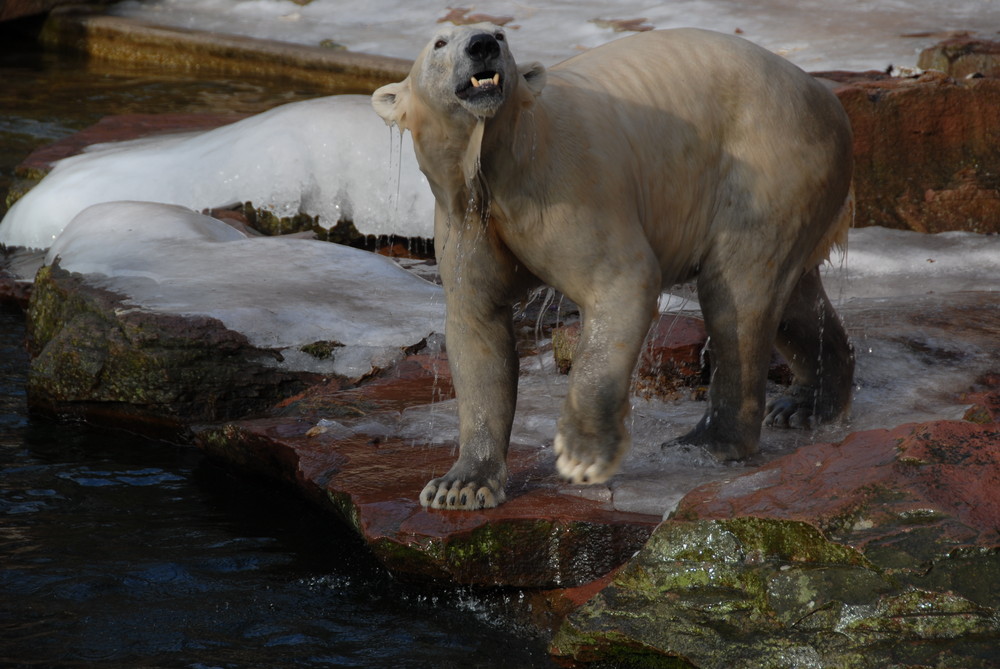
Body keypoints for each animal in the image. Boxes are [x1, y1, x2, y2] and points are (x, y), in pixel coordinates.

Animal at [374, 24, 852, 506]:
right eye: (439, 43)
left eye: (500, 35)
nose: (482, 46)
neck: (503, 157)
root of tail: (823, 95)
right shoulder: (466, 220)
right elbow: (478, 325)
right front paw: (460, 484)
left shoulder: (565, 185)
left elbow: (621, 283)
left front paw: (582, 455)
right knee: (791, 300)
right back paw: (806, 403)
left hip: (769, 160)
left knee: (738, 290)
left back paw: (709, 440)